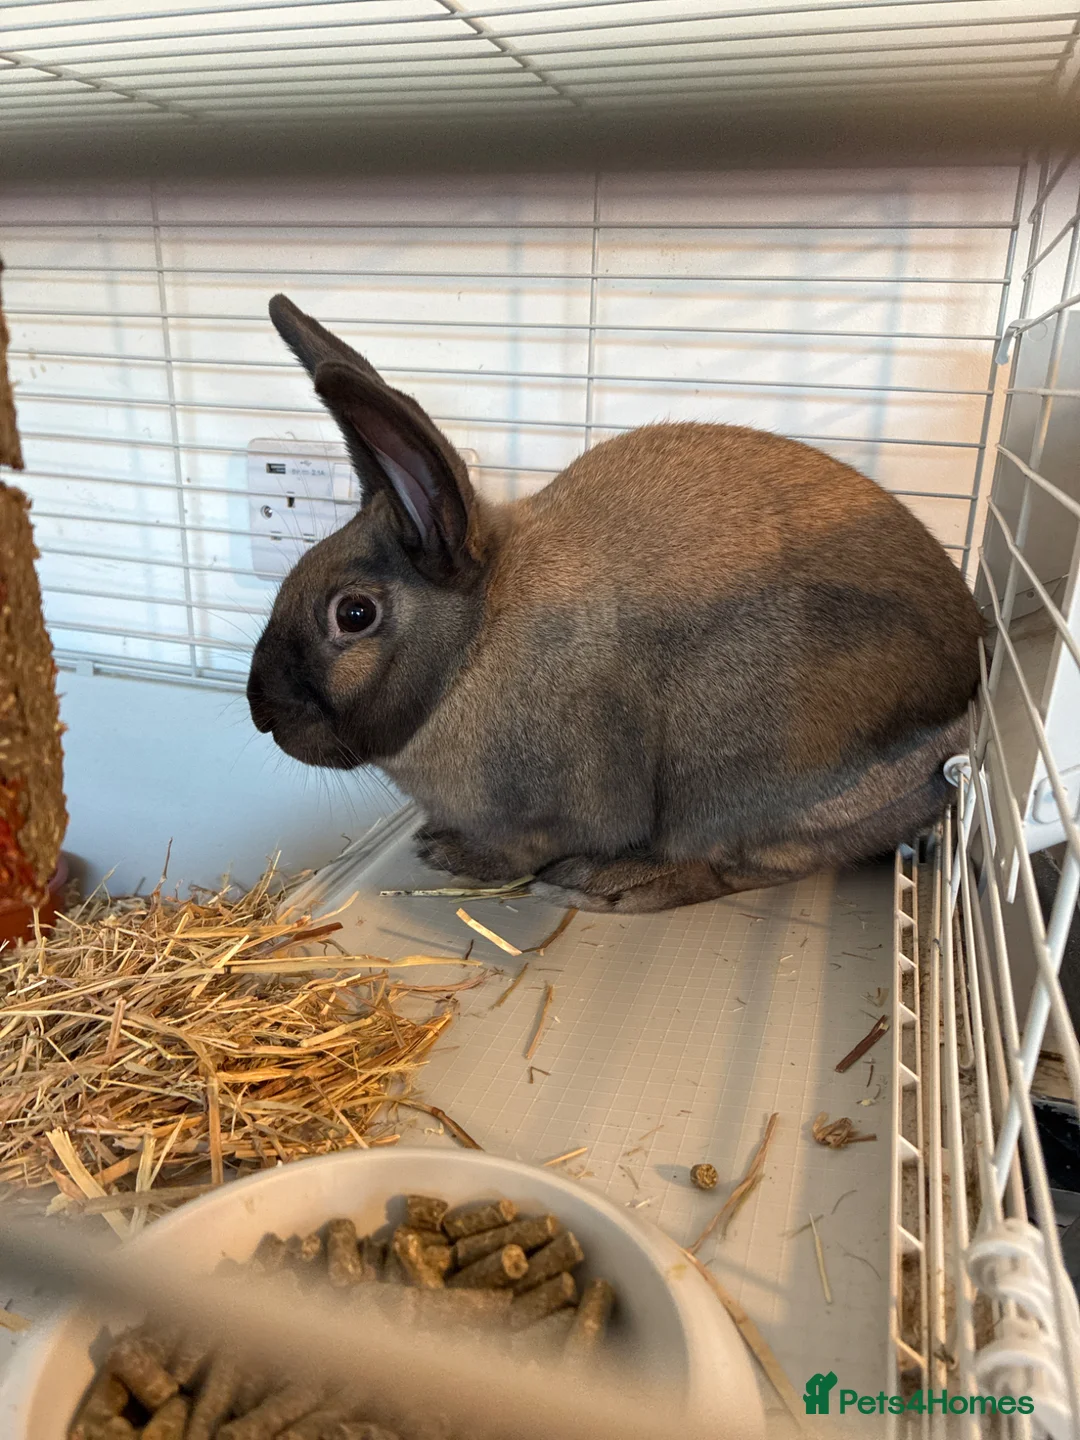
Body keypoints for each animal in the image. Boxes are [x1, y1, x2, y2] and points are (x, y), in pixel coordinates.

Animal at [247, 294, 984, 914]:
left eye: (354, 614)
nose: (262, 715)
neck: (474, 646)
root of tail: (958, 738)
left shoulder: (558, 809)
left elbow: (523, 849)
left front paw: (453, 855)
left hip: (731, 784)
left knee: (743, 866)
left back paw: (611, 884)